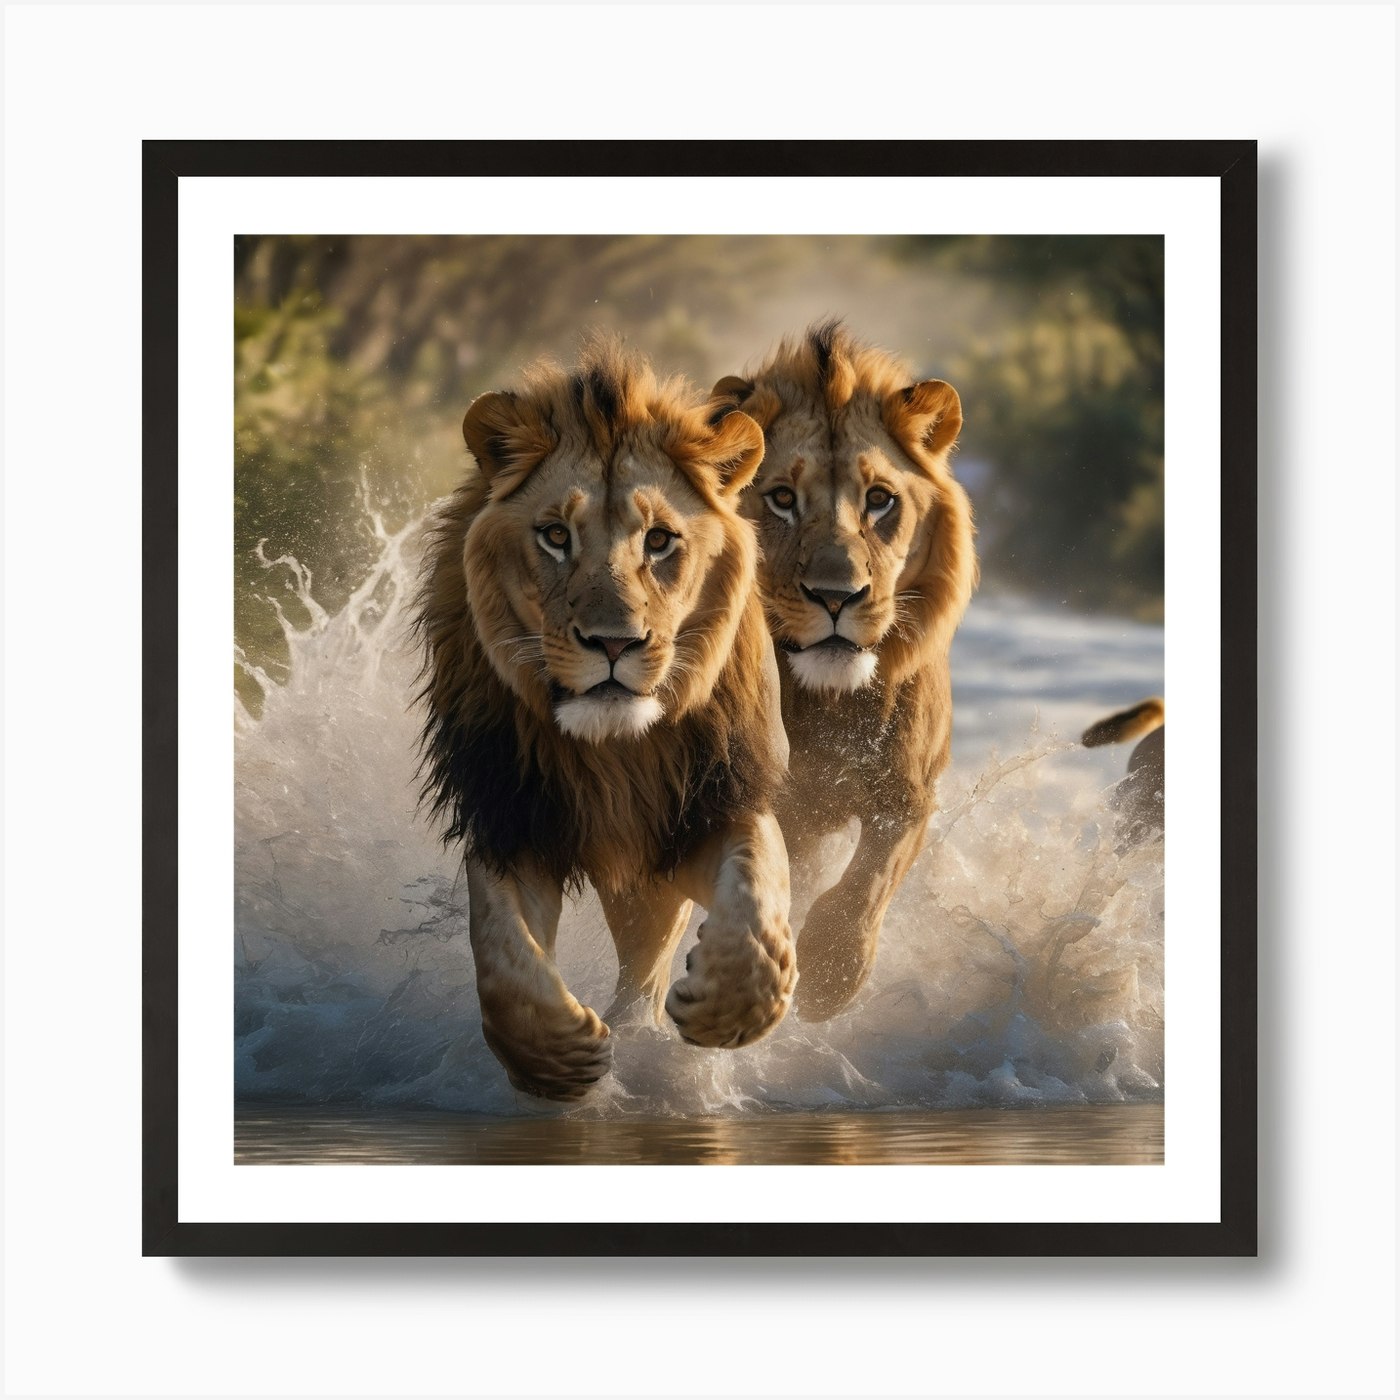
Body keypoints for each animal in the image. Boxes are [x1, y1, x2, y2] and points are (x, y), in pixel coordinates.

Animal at [415, 339, 796, 1101]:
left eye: (660, 541)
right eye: (555, 536)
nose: (614, 643)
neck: (614, 752)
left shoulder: (713, 804)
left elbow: (759, 901)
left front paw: (723, 1010)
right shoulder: (509, 815)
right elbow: (501, 953)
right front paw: (559, 1060)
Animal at [709, 320, 977, 1021]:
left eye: (880, 500)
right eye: (781, 499)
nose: (837, 596)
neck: (826, 701)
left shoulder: (909, 791)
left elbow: (871, 878)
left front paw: (833, 970)